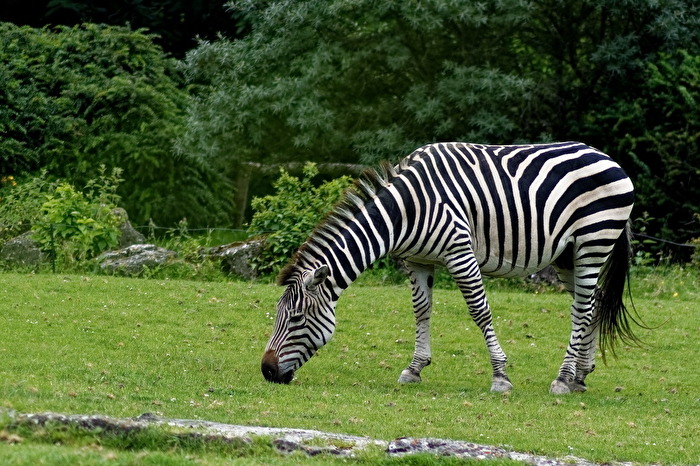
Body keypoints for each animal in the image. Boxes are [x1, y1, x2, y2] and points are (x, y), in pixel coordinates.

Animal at [261, 141, 639, 394]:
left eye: (296, 319)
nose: (266, 371)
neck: (405, 210)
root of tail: (606, 156)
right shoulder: (416, 260)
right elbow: (421, 310)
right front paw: (414, 369)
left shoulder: (459, 251)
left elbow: (480, 311)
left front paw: (500, 376)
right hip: (568, 254)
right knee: (592, 303)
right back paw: (580, 376)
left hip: (594, 241)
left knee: (582, 309)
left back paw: (562, 378)